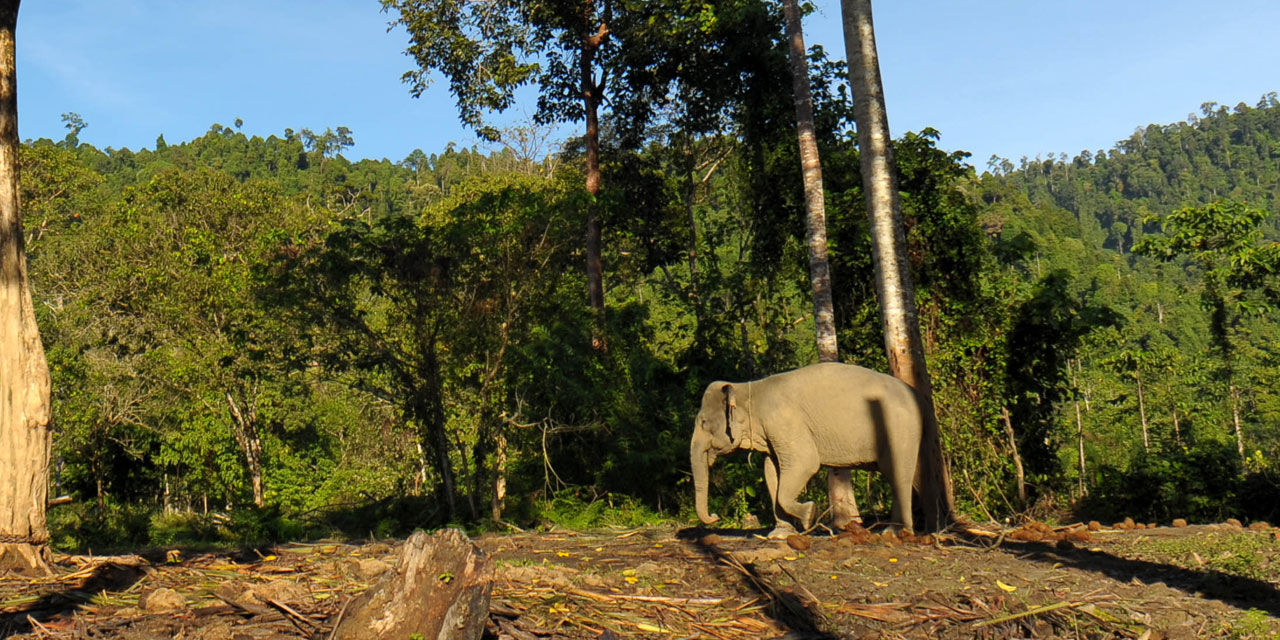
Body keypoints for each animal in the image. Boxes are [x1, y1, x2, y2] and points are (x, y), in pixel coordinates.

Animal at [691, 363, 921, 532]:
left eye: (703, 422)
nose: (714, 516)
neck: (749, 390)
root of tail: (915, 395)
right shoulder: (773, 435)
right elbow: (771, 470)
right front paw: (780, 534)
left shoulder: (784, 421)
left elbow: (805, 462)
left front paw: (809, 515)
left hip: (900, 431)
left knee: (899, 476)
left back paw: (896, 532)